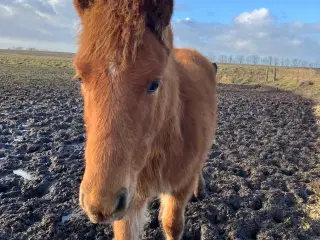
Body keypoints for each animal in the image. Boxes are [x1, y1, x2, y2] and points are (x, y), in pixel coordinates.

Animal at [72, 0, 218, 240]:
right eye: (80, 78)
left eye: (154, 83)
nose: (100, 205)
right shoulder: (130, 201)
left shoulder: (179, 190)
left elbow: (172, 225)